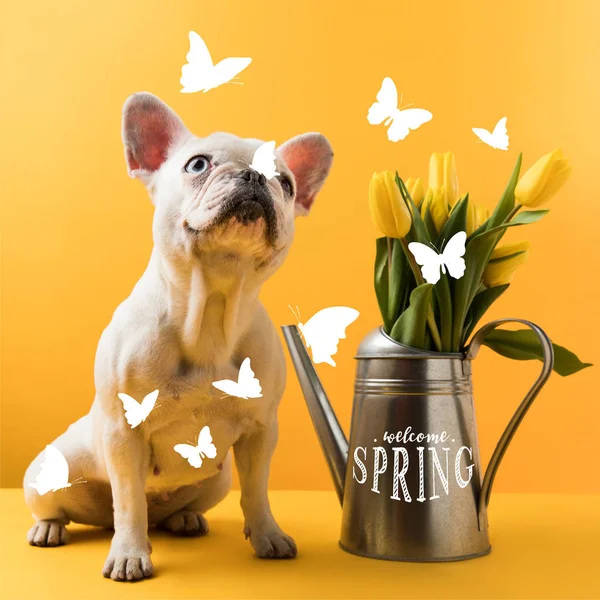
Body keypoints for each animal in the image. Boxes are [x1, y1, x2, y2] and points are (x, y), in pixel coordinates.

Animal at [23, 91, 332, 580]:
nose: (253, 175)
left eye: (285, 182)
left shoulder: (261, 431)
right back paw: (49, 528)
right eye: (198, 165)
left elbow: (257, 490)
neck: (212, 308)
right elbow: (130, 502)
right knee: (72, 506)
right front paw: (129, 554)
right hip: (49, 472)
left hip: (217, 478)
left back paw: (184, 518)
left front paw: (268, 535)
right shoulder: (123, 434)